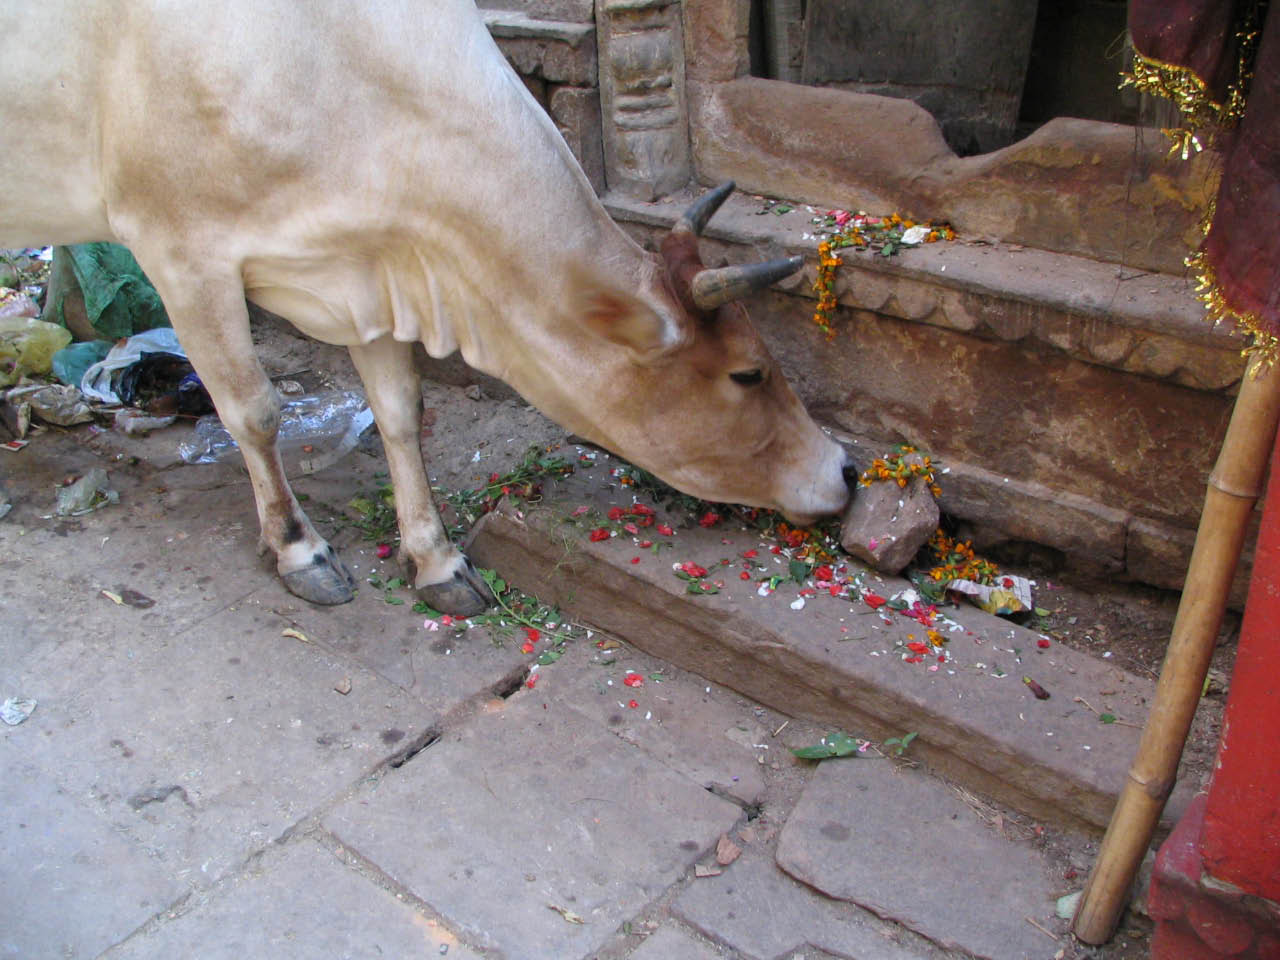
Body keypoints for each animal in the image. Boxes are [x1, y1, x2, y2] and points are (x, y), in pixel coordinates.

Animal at [0, 0, 853, 615]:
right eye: (747, 374)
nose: (844, 468)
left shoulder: (371, 267)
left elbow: (401, 413)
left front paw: (436, 560)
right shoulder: (179, 249)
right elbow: (254, 411)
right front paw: (299, 549)